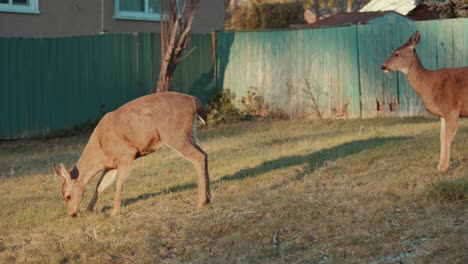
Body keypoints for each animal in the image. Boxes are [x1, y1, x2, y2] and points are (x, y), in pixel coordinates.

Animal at [52, 92, 210, 218]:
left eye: (68, 196)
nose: (72, 214)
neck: (100, 148)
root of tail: (194, 100)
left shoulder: (127, 154)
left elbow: (119, 182)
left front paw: (114, 212)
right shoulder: (111, 164)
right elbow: (100, 186)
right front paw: (89, 209)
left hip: (175, 135)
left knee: (198, 157)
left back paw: (201, 202)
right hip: (188, 135)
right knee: (205, 155)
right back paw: (208, 198)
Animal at [382, 30, 466, 173]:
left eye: (396, 53)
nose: (383, 66)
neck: (428, 84)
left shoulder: (452, 110)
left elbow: (447, 138)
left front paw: (444, 168)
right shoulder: (443, 114)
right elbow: (441, 137)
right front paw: (439, 166)